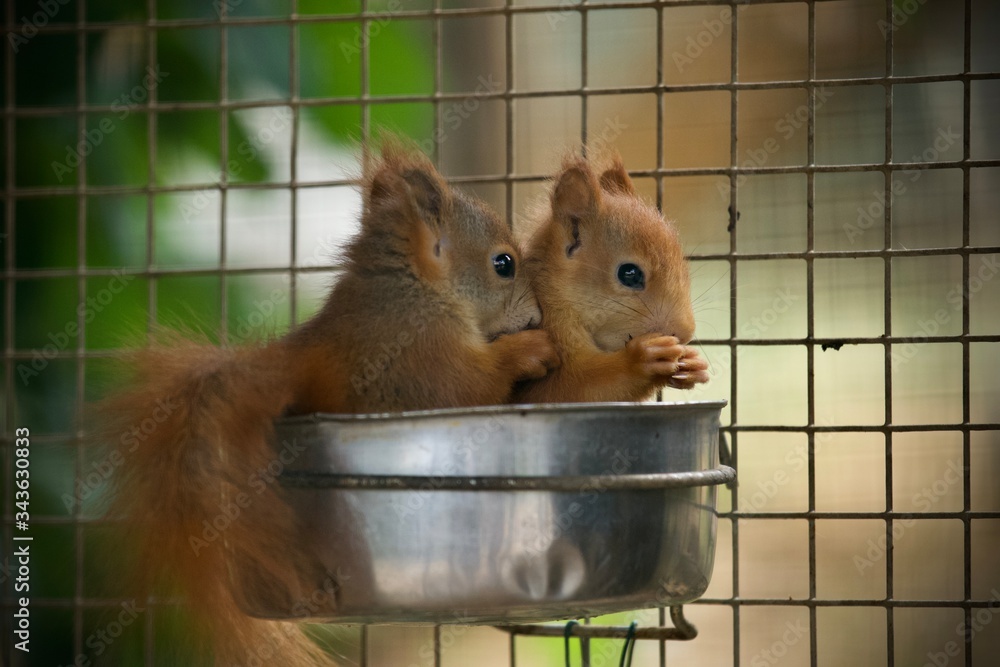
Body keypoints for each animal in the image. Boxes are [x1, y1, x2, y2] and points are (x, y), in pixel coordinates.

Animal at [99, 140, 558, 666]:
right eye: (504, 264)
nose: (536, 317)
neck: (416, 290)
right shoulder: (417, 355)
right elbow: (469, 388)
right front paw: (531, 349)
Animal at [511, 152, 709, 404]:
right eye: (629, 274)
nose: (685, 333)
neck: (553, 299)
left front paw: (693, 363)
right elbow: (570, 389)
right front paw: (641, 359)